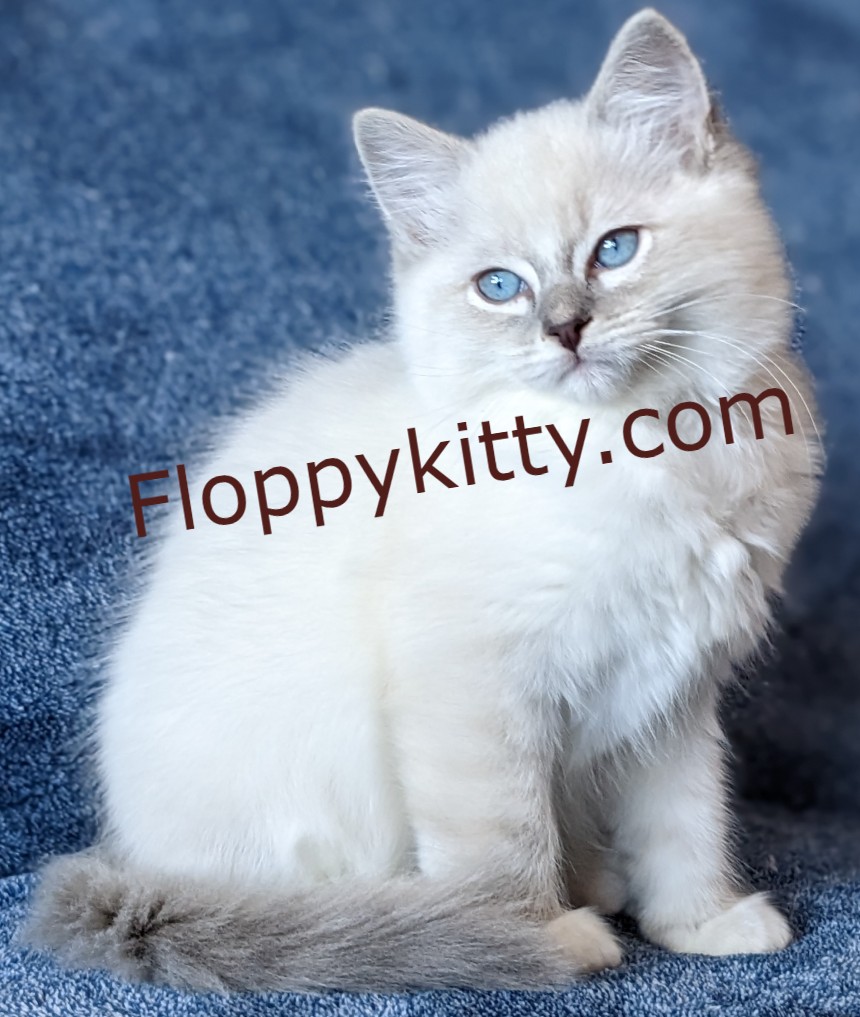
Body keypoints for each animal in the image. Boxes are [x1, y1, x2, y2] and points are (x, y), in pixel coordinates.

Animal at [24, 7, 822, 993]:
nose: (565, 327)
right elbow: (505, 842)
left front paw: (702, 925)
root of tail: (137, 869)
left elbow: (685, 824)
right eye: (501, 288)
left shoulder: (673, 697)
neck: (643, 451)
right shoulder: (472, 685)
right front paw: (534, 939)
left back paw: (595, 883)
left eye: (615, 250)